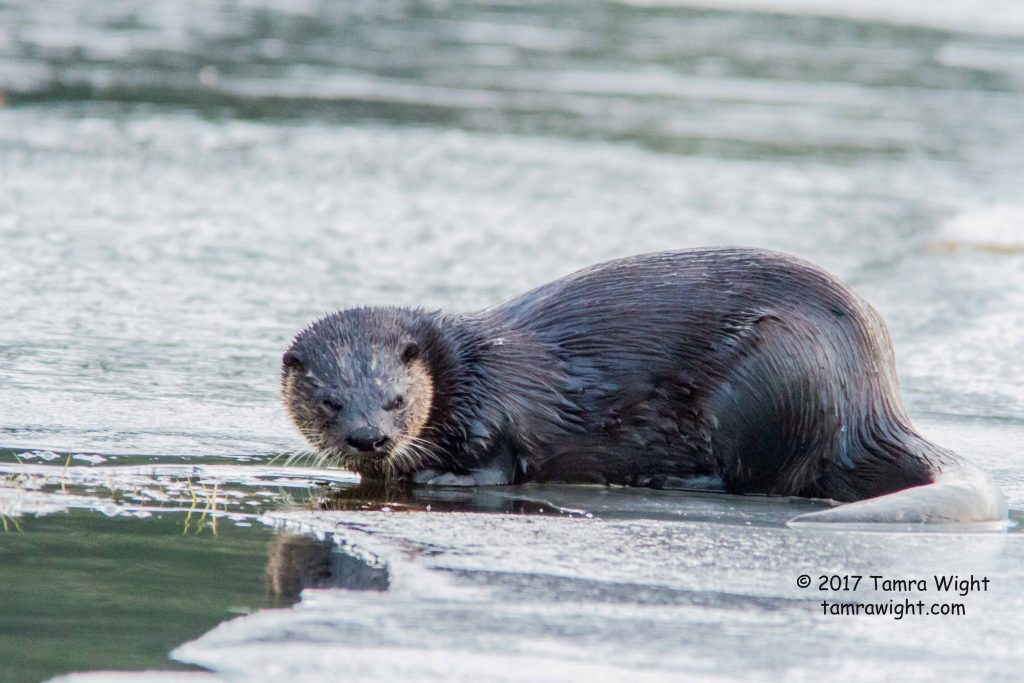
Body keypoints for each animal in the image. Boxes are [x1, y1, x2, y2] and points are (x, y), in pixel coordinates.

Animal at [281, 248, 1005, 524]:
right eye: (331, 400)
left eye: (398, 399)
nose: (370, 437)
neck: (467, 370)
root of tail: (873, 404)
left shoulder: (499, 412)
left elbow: (498, 464)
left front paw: (438, 476)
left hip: (775, 376)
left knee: (756, 476)